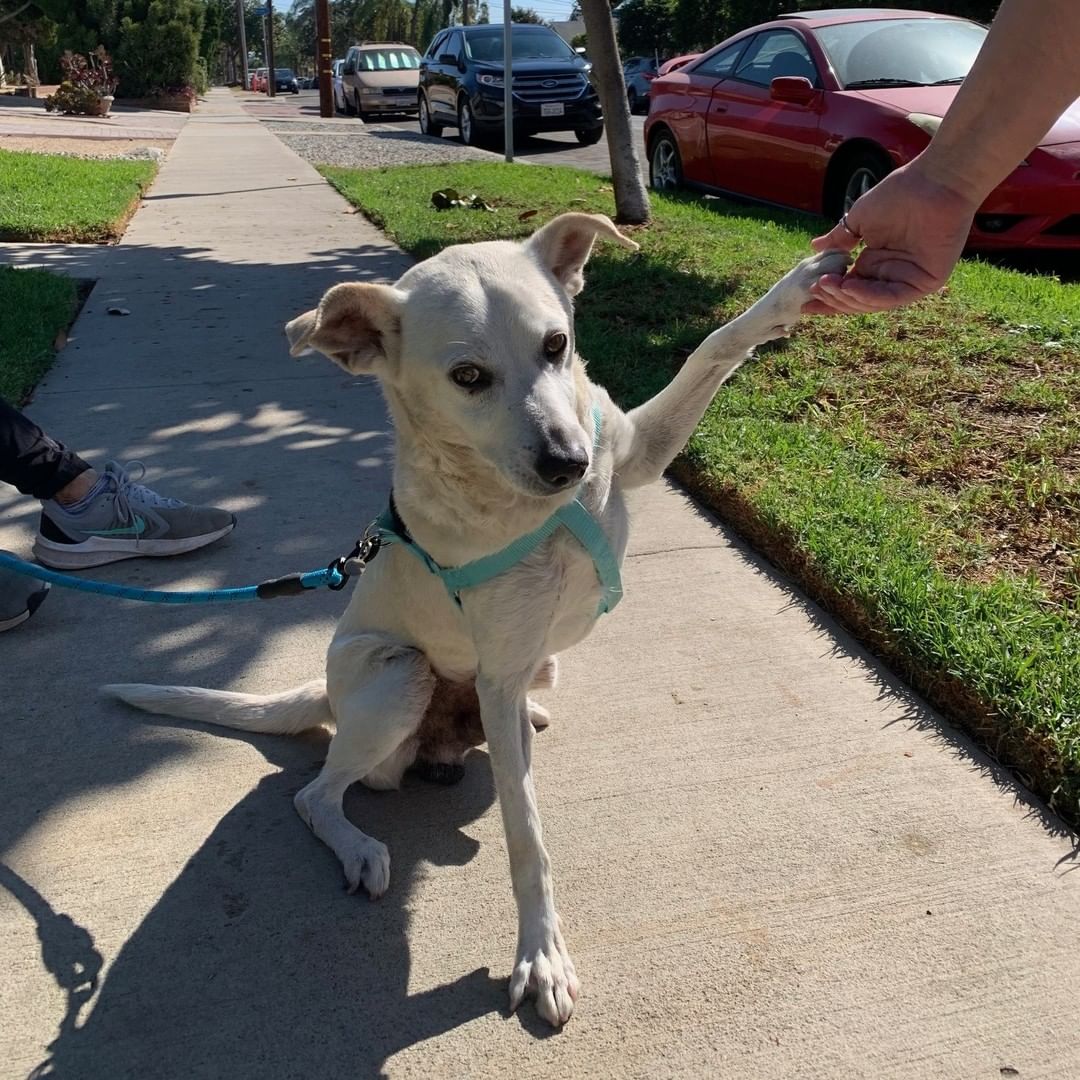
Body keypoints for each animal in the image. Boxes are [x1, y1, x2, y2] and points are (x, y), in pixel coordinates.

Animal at [107, 212, 851, 1028]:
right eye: (468, 377)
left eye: (556, 345)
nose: (567, 462)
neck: (528, 503)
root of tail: (323, 692)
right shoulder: (494, 671)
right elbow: (527, 838)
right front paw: (541, 956)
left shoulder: (635, 455)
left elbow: (711, 344)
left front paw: (797, 290)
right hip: (400, 677)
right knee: (315, 793)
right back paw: (359, 845)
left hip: (529, 667)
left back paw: (526, 721)